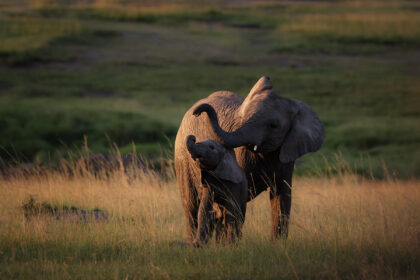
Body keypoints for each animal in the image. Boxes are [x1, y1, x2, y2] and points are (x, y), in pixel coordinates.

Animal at [175, 76, 324, 241]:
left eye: (274, 126)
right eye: (243, 118)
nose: (197, 112)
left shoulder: (286, 152)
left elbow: (282, 195)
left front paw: (277, 244)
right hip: (182, 161)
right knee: (191, 205)